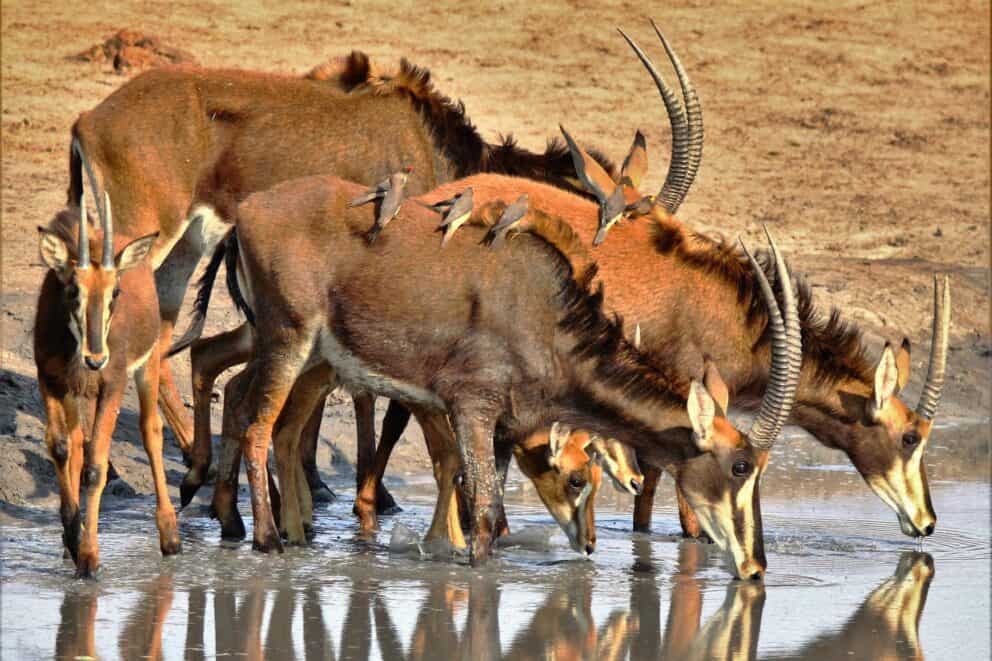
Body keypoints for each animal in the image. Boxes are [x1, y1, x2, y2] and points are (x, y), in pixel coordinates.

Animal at [34, 146, 180, 578]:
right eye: (71, 290)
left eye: (115, 292)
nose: (95, 359)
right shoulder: (50, 380)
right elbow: (61, 448)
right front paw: (72, 535)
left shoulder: (112, 386)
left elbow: (97, 467)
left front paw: (89, 558)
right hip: (77, 392)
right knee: (75, 444)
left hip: (145, 367)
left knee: (151, 431)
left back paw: (170, 535)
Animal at [205, 173, 800, 577]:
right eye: (741, 467)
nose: (756, 568)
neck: (544, 314)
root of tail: (248, 212)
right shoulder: (472, 405)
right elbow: (486, 510)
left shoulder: (503, 426)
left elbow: (477, 498)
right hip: (289, 338)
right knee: (259, 425)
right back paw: (266, 540)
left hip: (303, 353)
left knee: (245, 402)